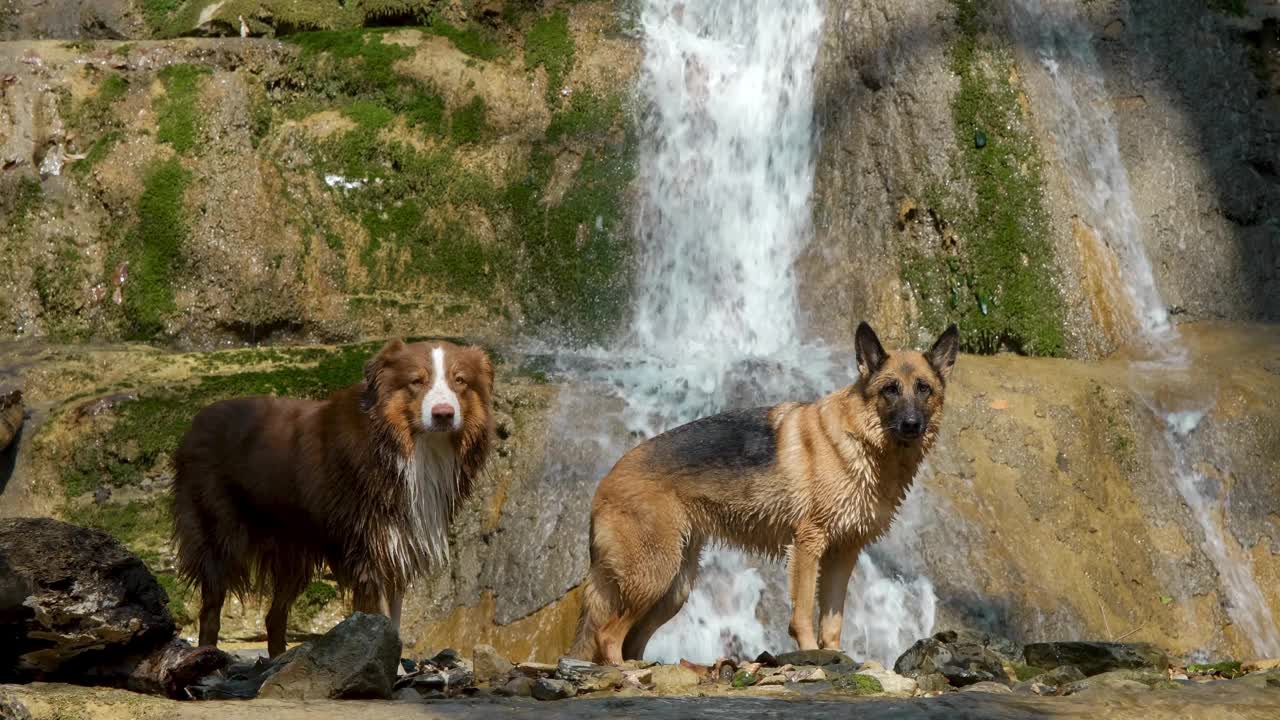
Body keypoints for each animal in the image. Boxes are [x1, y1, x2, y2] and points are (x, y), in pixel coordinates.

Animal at [170, 338, 488, 653]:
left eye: (460, 381)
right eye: (416, 381)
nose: (444, 414)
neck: (402, 446)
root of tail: (196, 421)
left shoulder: (398, 549)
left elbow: (394, 624)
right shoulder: (370, 552)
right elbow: (378, 619)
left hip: (293, 553)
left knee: (274, 617)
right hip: (219, 537)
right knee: (211, 611)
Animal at [573, 320, 962, 661]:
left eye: (923, 388)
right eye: (890, 389)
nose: (911, 425)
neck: (860, 441)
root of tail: (605, 481)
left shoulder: (843, 554)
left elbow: (833, 620)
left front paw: (835, 655)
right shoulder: (808, 545)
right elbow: (803, 613)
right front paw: (810, 654)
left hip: (674, 588)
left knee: (632, 639)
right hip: (653, 576)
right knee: (607, 635)